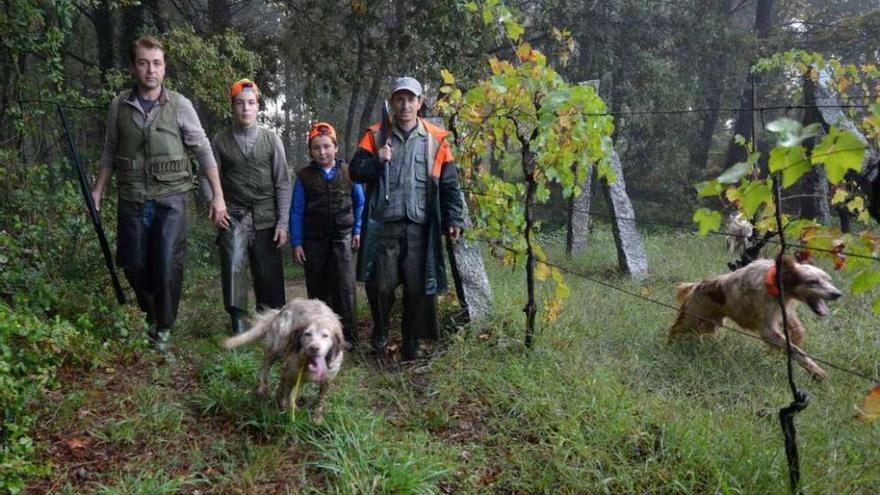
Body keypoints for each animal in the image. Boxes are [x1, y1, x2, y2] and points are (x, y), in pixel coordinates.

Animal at [672, 256, 844, 380]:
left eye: (829, 280)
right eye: (813, 281)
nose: (837, 294)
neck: (776, 284)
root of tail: (695, 286)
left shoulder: (784, 312)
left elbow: (798, 331)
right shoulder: (767, 329)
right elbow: (795, 350)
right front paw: (818, 372)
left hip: (710, 325)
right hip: (689, 319)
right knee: (674, 330)